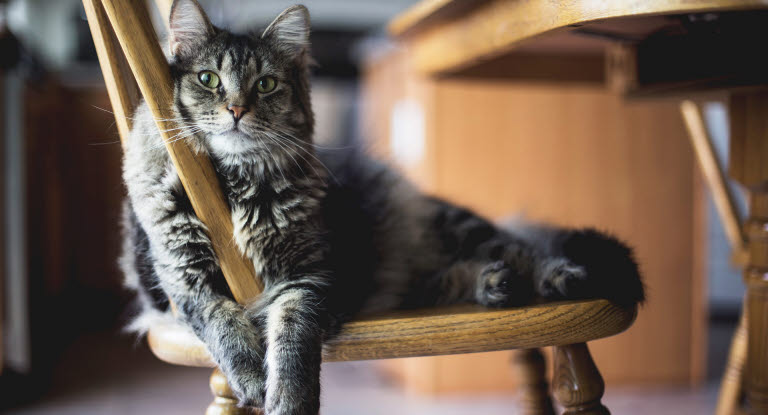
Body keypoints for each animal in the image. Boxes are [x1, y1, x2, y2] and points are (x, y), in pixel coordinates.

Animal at [120, 1, 644, 414]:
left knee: (521, 249)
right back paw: (493, 284)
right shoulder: (183, 279)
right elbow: (223, 323)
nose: (235, 111)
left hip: (457, 228)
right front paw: (251, 378)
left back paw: (556, 277)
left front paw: (288, 399)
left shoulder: (309, 277)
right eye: (208, 79)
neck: (233, 184)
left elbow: (292, 340)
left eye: (265, 85)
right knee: (451, 276)